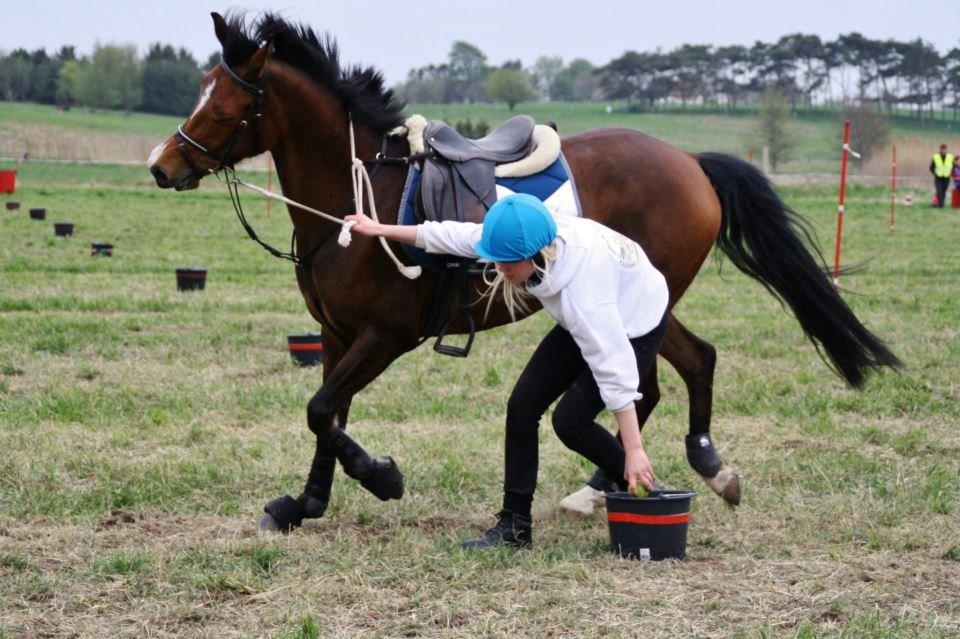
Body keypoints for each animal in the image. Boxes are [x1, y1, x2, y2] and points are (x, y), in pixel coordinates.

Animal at [144, 13, 900, 536]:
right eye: (199, 91)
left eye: (222, 103)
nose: (161, 165)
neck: (358, 198)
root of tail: (688, 160)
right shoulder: (334, 336)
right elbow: (327, 415)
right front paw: (305, 502)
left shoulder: (385, 337)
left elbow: (322, 410)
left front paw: (382, 478)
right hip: (655, 303)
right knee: (689, 365)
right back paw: (671, 471)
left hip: (645, 302)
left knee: (654, 379)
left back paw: (652, 474)